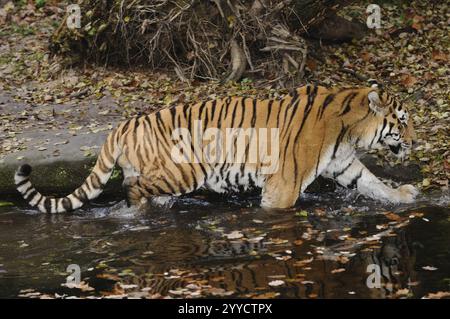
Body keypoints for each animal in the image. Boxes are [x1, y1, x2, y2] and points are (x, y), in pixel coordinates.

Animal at [14, 81, 418, 214]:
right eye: (402, 120)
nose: (415, 141)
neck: (351, 130)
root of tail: (123, 125)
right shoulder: (283, 185)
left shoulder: (345, 165)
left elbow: (373, 183)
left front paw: (404, 195)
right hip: (185, 170)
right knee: (134, 189)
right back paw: (136, 214)